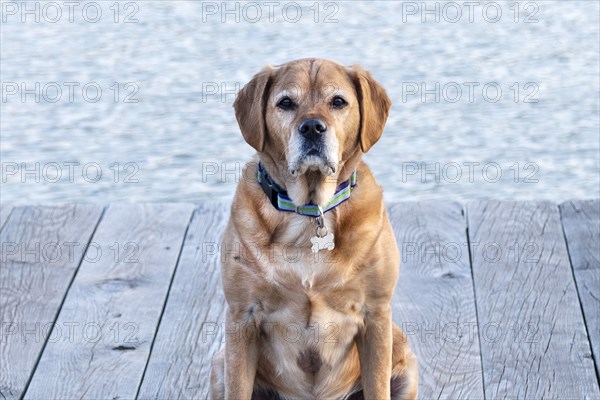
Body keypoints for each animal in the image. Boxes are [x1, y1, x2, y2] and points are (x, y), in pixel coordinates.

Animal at [210, 57, 418, 400]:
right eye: (285, 103)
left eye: (338, 101)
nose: (312, 127)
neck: (309, 214)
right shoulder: (242, 318)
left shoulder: (375, 315)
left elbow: (377, 387)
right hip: (220, 363)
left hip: (403, 355)